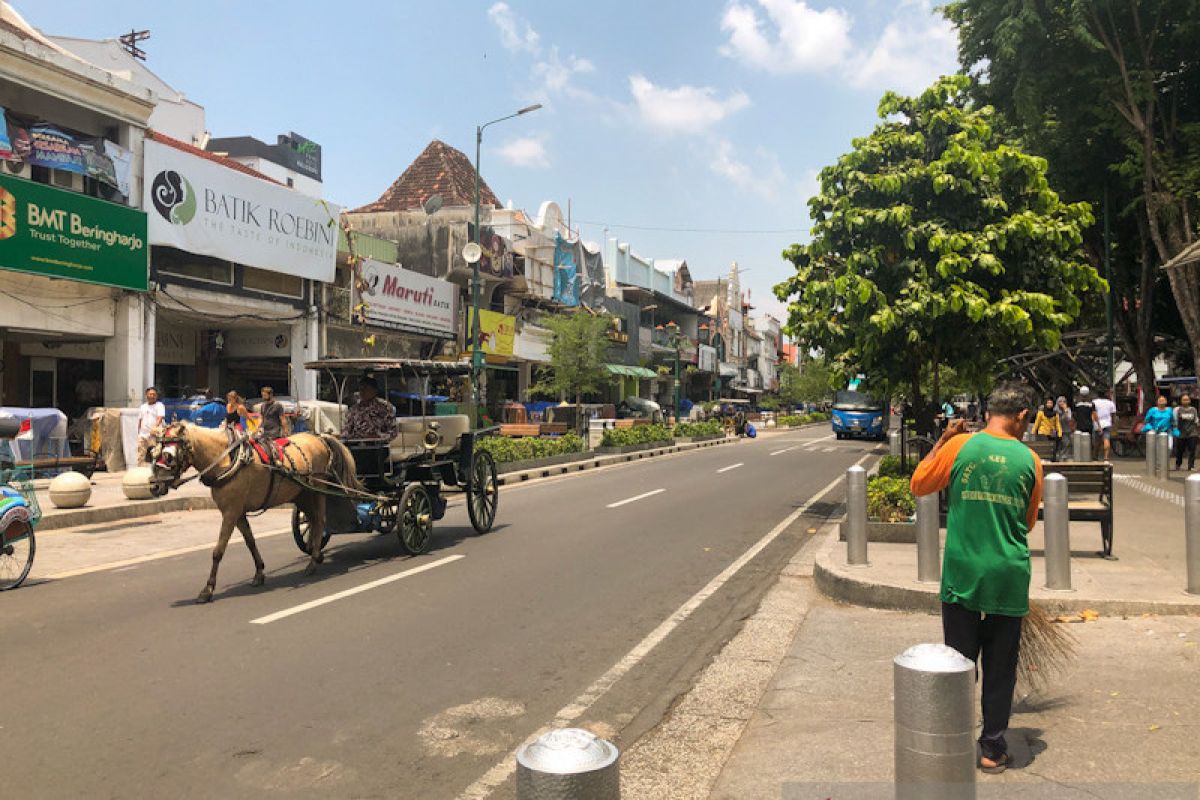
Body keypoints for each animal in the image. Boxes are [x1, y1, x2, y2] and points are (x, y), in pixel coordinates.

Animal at [148, 422, 360, 604]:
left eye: (168, 455)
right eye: (153, 452)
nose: (154, 486)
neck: (227, 460)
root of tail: (319, 437)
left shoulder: (230, 512)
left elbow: (218, 551)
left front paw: (207, 590)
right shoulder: (238, 513)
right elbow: (250, 542)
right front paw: (259, 573)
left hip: (317, 489)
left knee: (320, 520)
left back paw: (313, 562)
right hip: (302, 493)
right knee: (314, 522)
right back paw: (316, 555)